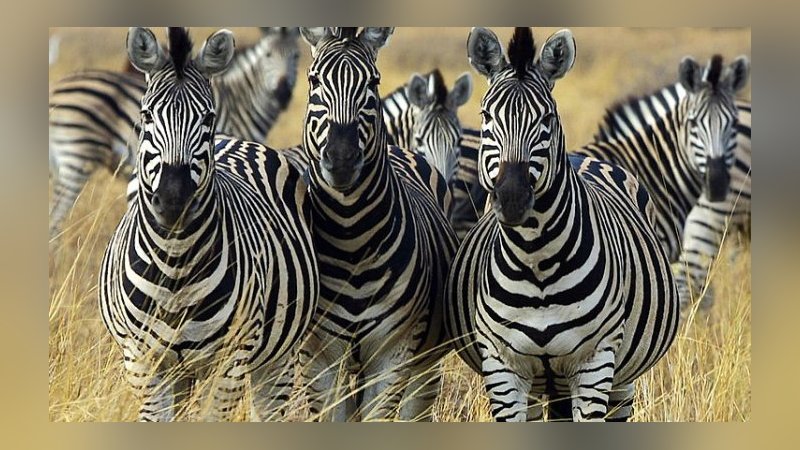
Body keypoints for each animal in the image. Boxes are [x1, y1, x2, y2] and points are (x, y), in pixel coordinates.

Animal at [98, 27, 318, 421]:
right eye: (147, 115)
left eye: (208, 117)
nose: (174, 199)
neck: (174, 265)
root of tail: (238, 141)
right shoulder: (142, 361)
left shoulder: (231, 361)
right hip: (181, 372)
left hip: (274, 358)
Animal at [296, 27, 458, 421]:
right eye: (313, 81)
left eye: (373, 82)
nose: (341, 158)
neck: (351, 238)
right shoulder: (318, 358)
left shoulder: (393, 353)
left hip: (423, 364)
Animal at [444, 27, 680, 422]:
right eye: (486, 116)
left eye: (547, 120)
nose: (512, 198)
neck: (535, 258)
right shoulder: (503, 366)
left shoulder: (595, 363)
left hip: (620, 380)